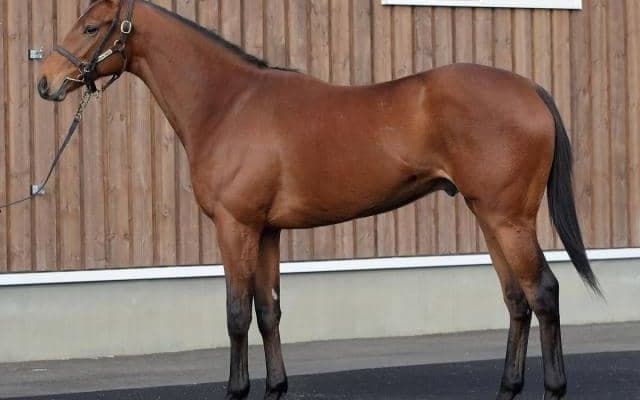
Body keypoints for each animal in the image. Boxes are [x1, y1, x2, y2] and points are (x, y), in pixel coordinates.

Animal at [38, 0, 601, 399]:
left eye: (91, 27)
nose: (45, 82)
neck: (228, 103)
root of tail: (528, 88)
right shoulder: (266, 230)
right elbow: (268, 311)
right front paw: (275, 388)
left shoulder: (235, 226)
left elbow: (237, 314)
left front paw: (237, 390)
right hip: (488, 217)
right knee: (516, 300)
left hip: (508, 219)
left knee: (543, 293)